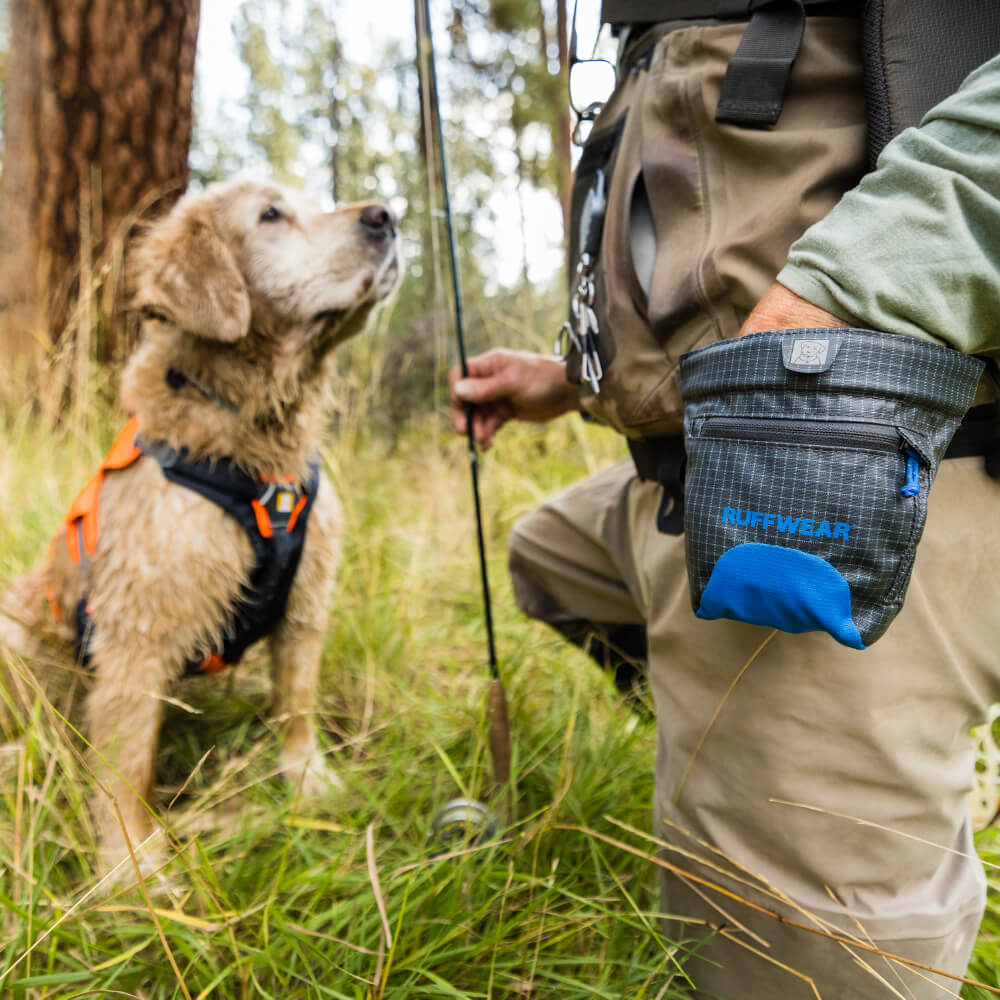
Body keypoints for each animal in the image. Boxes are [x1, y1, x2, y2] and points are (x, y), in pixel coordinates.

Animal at [0, 178, 398, 876]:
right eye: (270, 214)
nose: (388, 216)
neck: (254, 450)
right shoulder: (138, 631)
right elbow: (126, 768)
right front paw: (133, 869)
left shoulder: (306, 603)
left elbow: (297, 706)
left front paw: (309, 782)